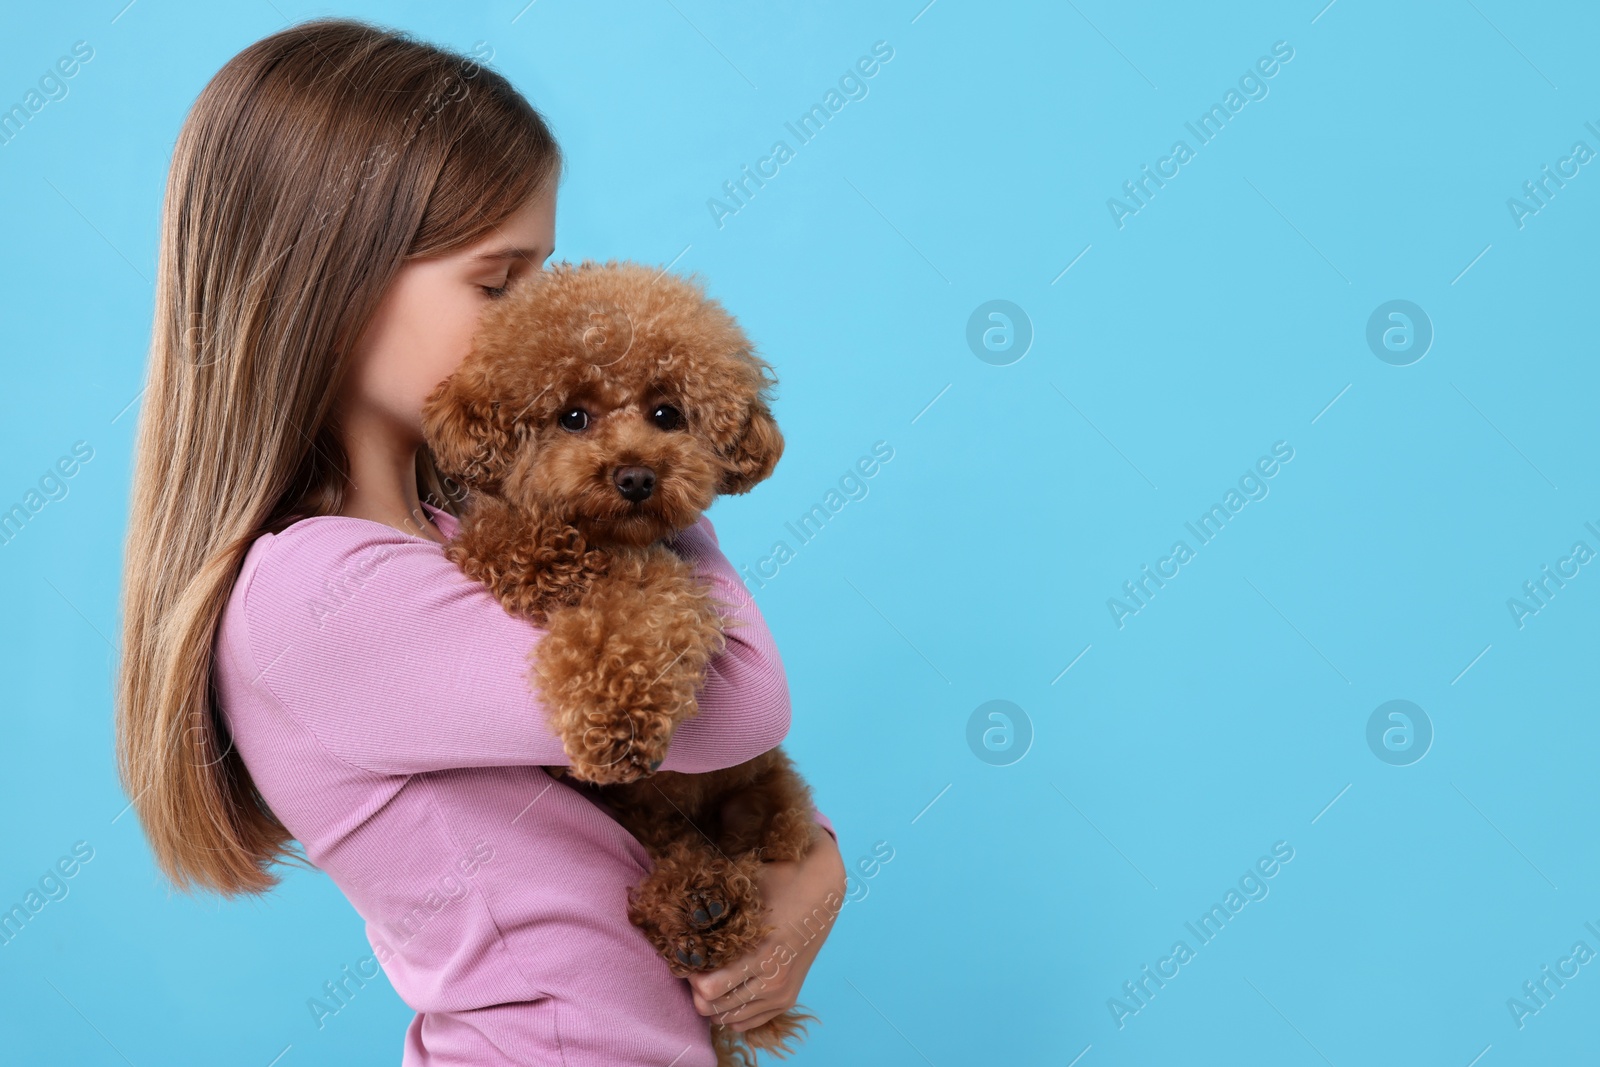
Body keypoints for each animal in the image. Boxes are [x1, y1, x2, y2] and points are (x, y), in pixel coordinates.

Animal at [419, 260, 825, 1067]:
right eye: (572, 417)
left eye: (668, 413)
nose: (636, 476)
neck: (605, 543)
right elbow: (503, 539)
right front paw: (536, 554)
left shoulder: (665, 586)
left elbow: (630, 630)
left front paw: (615, 723)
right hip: (645, 815)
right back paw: (693, 905)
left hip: (761, 803)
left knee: (745, 863)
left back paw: (708, 910)